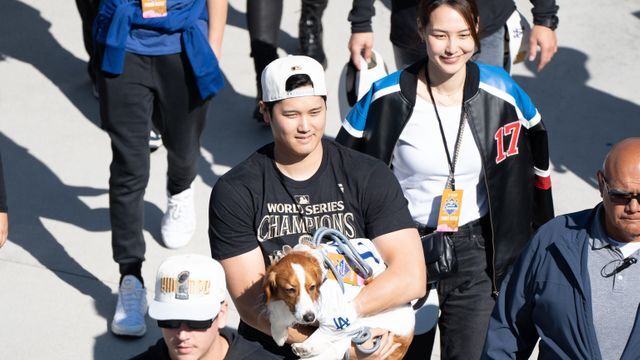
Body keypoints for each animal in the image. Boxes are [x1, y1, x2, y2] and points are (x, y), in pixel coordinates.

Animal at [262, 246, 412, 358]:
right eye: (290, 289)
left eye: (312, 287)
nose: (309, 318)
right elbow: (277, 313)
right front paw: (279, 334)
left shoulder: (339, 314)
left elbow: (327, 329)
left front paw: (307, 344)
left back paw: (307, 347)